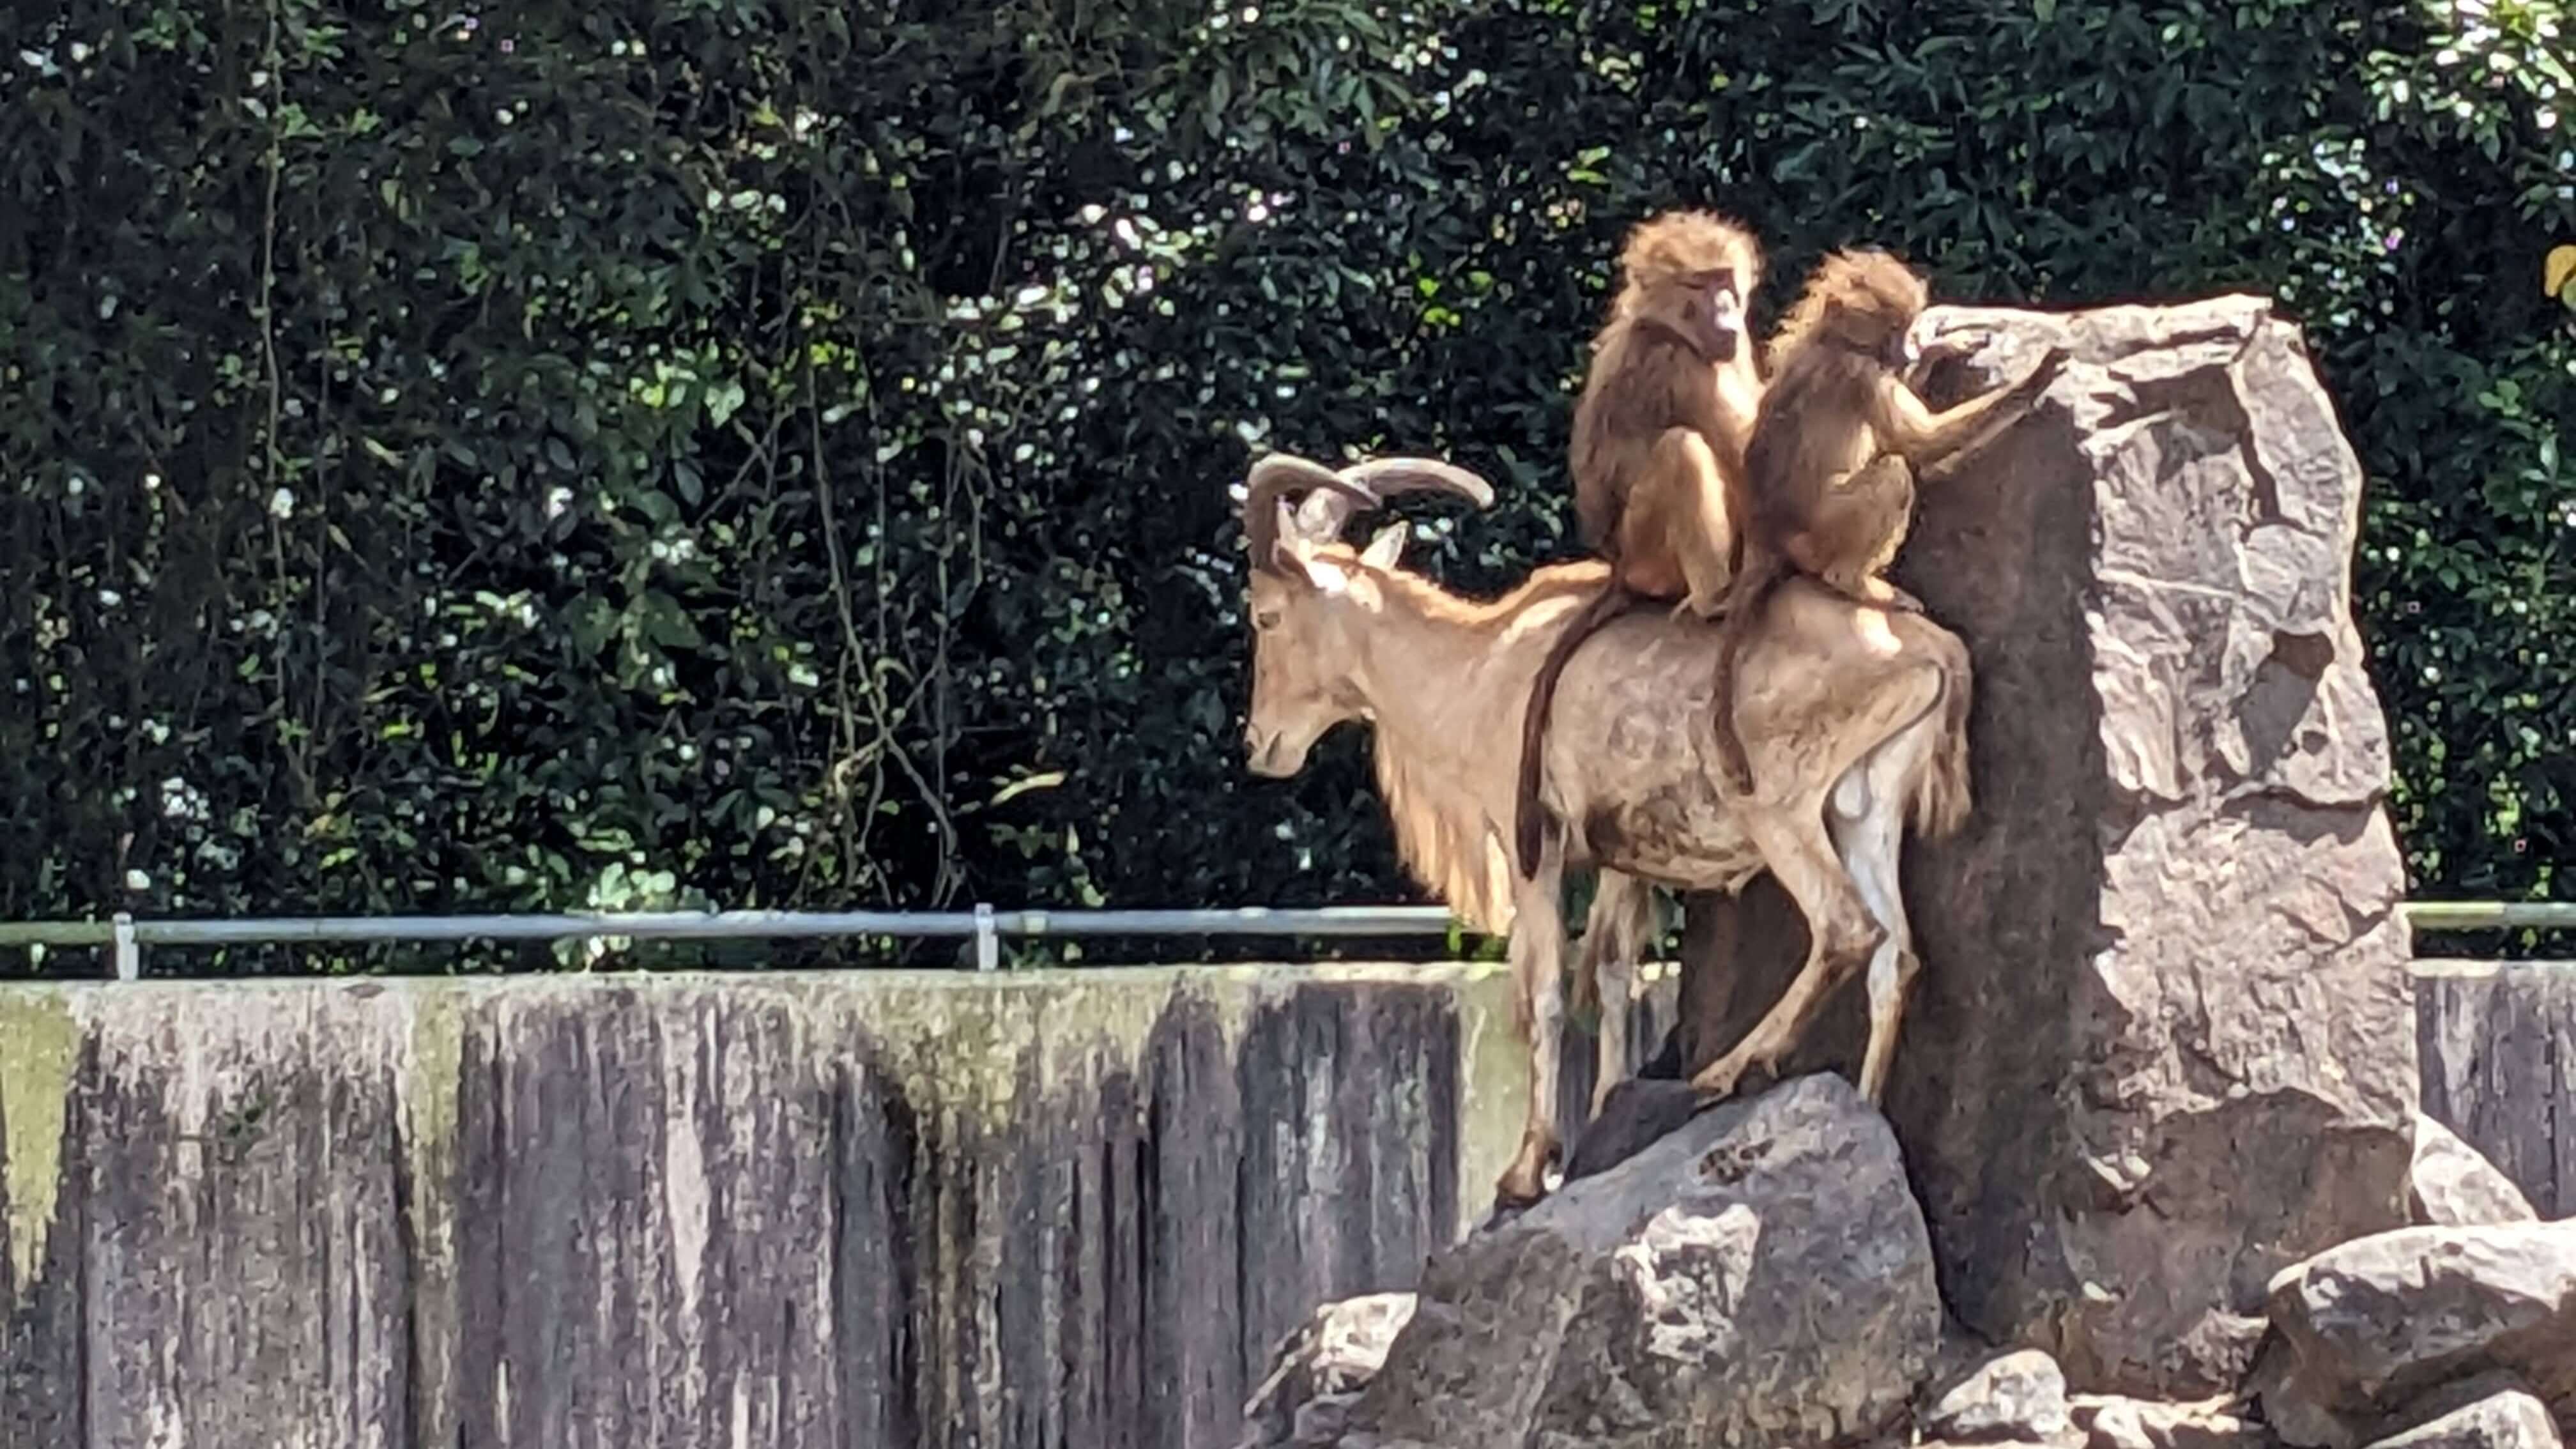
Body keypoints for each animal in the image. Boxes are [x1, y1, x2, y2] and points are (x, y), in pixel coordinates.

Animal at [1235, 450, 1975, 1211]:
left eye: (1264, 614)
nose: (1260, 743)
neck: (1479, 666)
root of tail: (1936, 653)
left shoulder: (1535, 846)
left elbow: (1546, 992)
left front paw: (1528, 1169)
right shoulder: (1624, 861)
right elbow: (1615, 972)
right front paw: (1602, 1114)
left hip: (1782, 812)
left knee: (1846, 929)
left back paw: (1727, 1071)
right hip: (1867, 811)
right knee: (1896, 957)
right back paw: (1867, 1115)